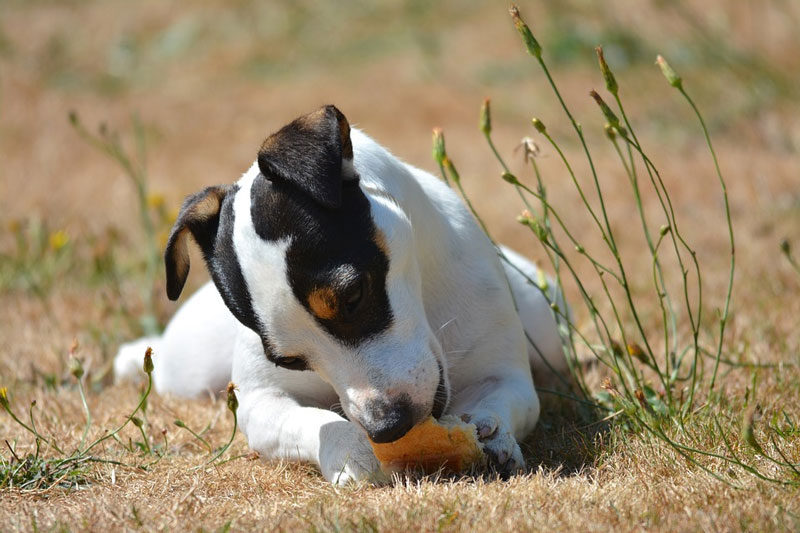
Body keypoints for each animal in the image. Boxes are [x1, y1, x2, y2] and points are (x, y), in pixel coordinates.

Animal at [114, 106, 568, 484]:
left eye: (353, 296)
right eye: (289, 361)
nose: (387, 427)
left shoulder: (506, 377)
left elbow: (504, 400)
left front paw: (493, 432)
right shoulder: (260, 402)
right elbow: (313, 422)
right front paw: (350, 450)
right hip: (190, 368)